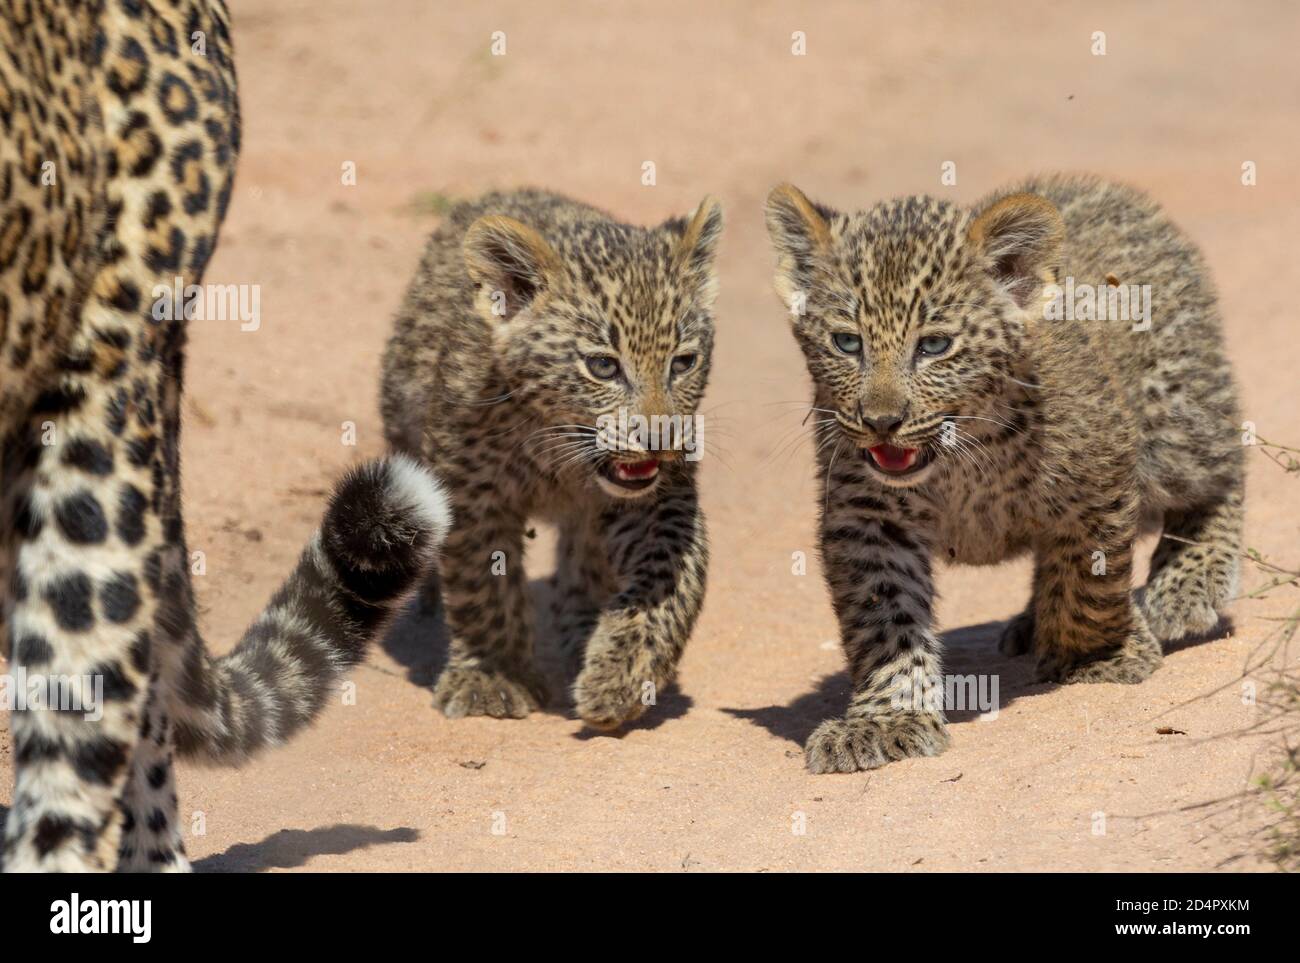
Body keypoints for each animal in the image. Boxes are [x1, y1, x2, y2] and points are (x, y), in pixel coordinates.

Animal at [381, 188, 721, 730]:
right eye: (602, 366)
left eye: (683, 363)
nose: (658, 440)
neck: (556, 450)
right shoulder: (472, 494)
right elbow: (481, 582)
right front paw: (494, 676)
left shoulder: (661, 496)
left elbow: (670, 575)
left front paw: (622, 675)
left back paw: (584, 632)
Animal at [764, 174, 1243, 773]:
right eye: (847, 343)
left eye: (935, 345)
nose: (881, 422)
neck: (957, 462)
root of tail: (1102, 186)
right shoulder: (868, 519)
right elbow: (886, 618)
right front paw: (888, 720)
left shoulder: (1100, 483)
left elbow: (1089, 584)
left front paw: (1096, 657)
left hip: (1175, 422)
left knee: (1224, 465)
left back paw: (1189, 584)